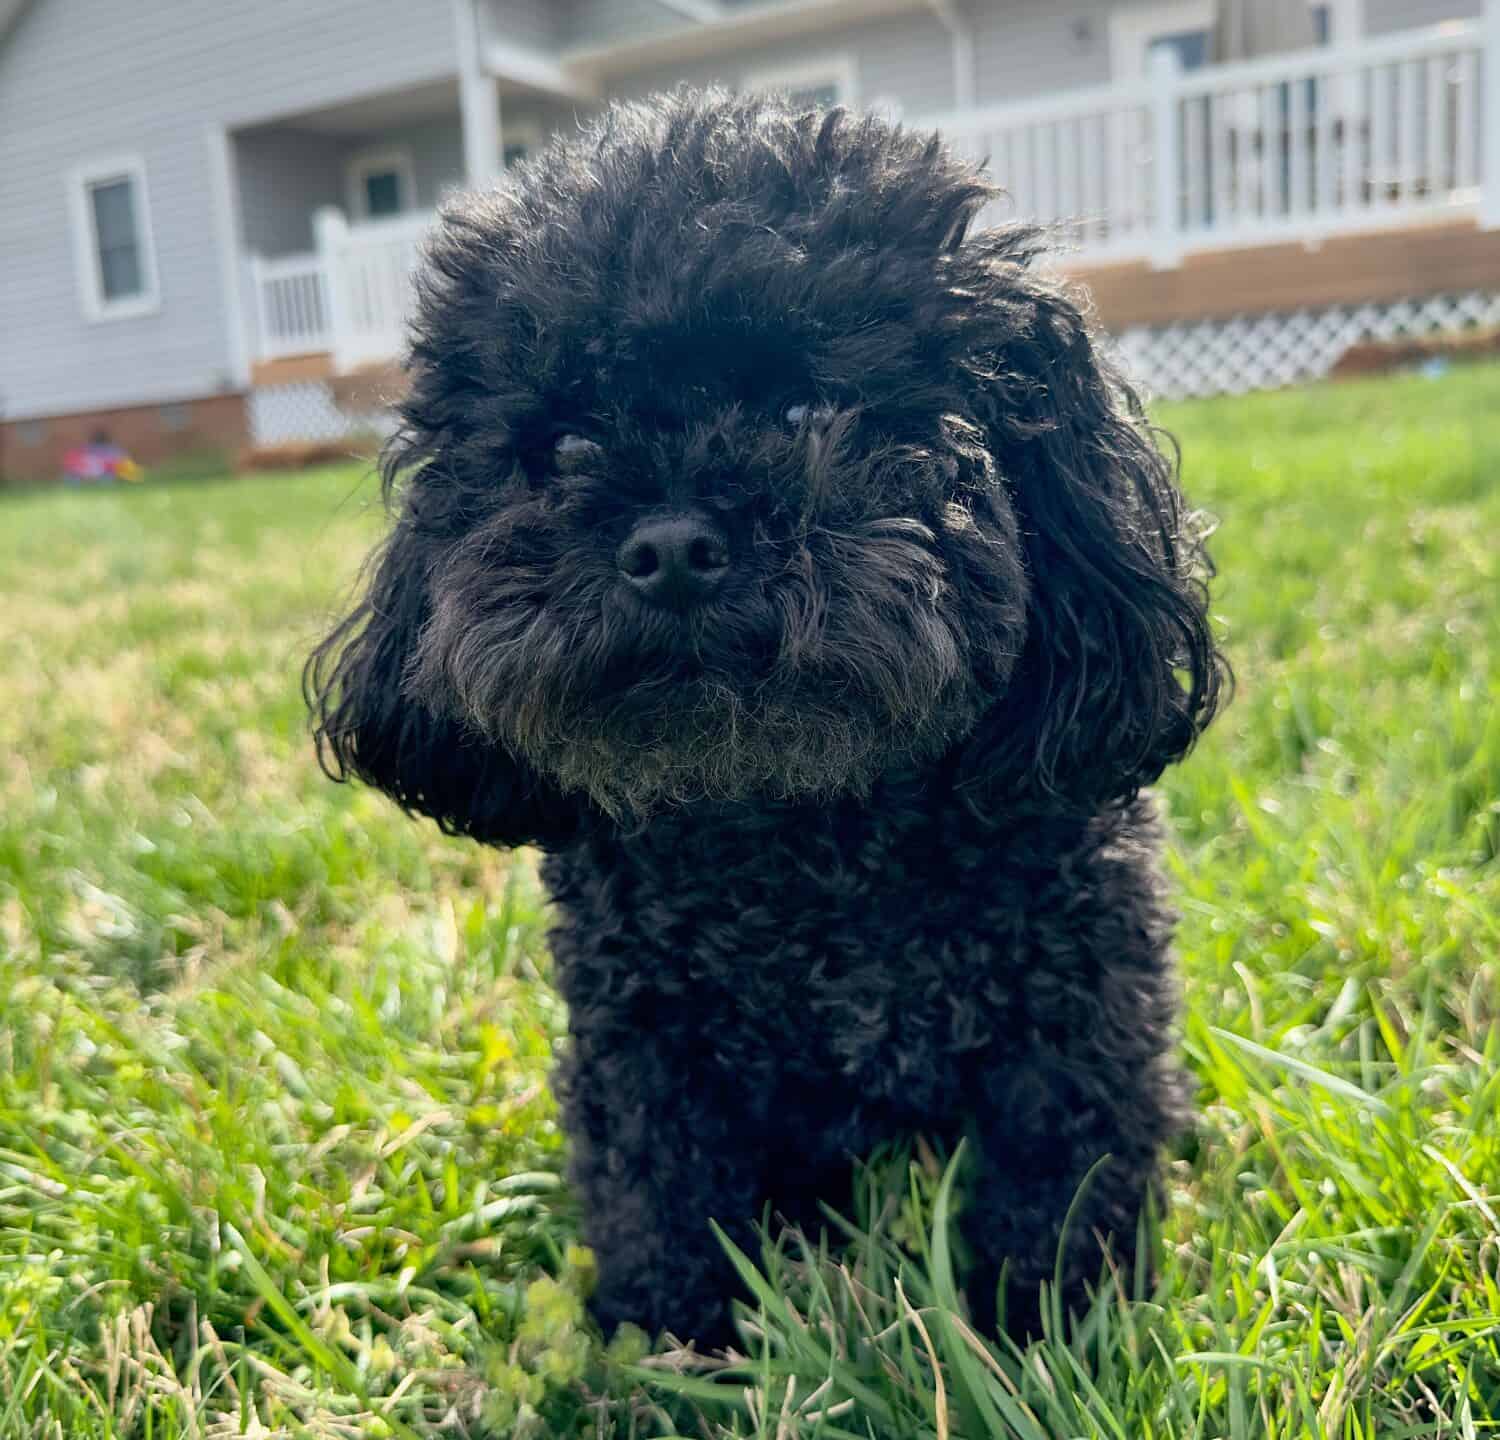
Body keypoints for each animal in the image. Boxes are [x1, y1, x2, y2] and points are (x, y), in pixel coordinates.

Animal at [304, 90, 1218, 1350]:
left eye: (808, 405)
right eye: (566, 445)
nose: (673, 544)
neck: (801, 838)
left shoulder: (1075, 1017)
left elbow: (1064, 1182)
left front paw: (1052, 1332)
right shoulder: (649, 1051)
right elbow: (664, 1198)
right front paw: (667, 1349)